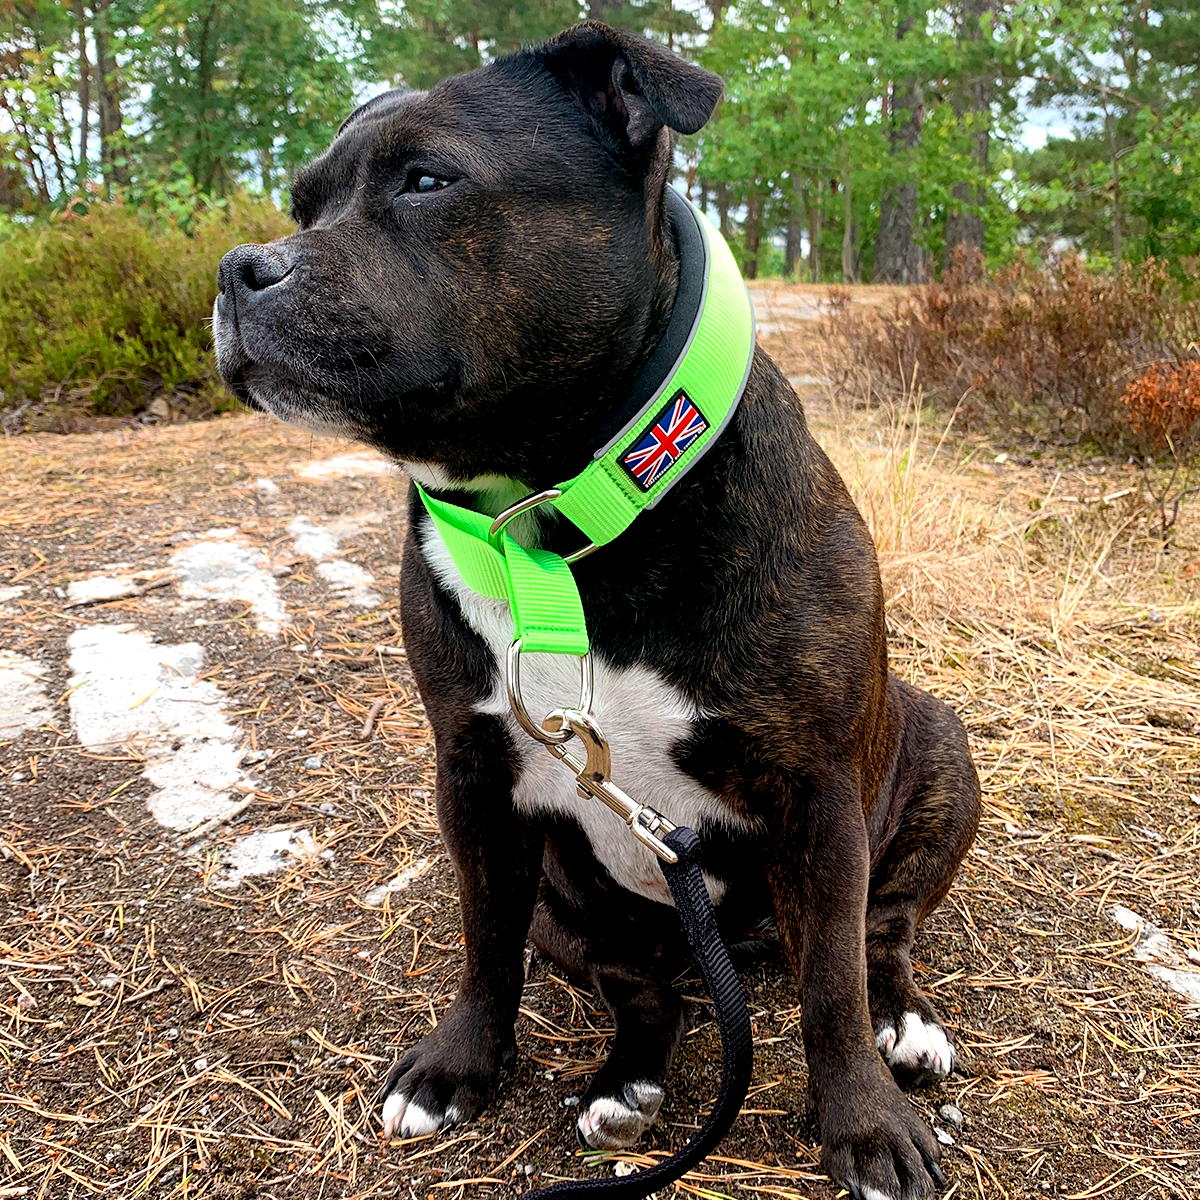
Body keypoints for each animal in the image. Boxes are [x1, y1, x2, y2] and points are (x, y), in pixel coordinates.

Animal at [213, 21, 984, 1200]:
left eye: (427, 181)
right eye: (302, 206)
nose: (238, 269)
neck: (549, 530)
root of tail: (733, 946)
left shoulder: (817, 797)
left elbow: (832, 993)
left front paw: (862, 1122)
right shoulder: (473, 778)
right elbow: (483, 940)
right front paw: (459, 1064)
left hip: (935, 755)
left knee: (878, 938)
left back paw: (905, 1025)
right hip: (573, 904)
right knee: (645, 987)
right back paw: (626, 1082)